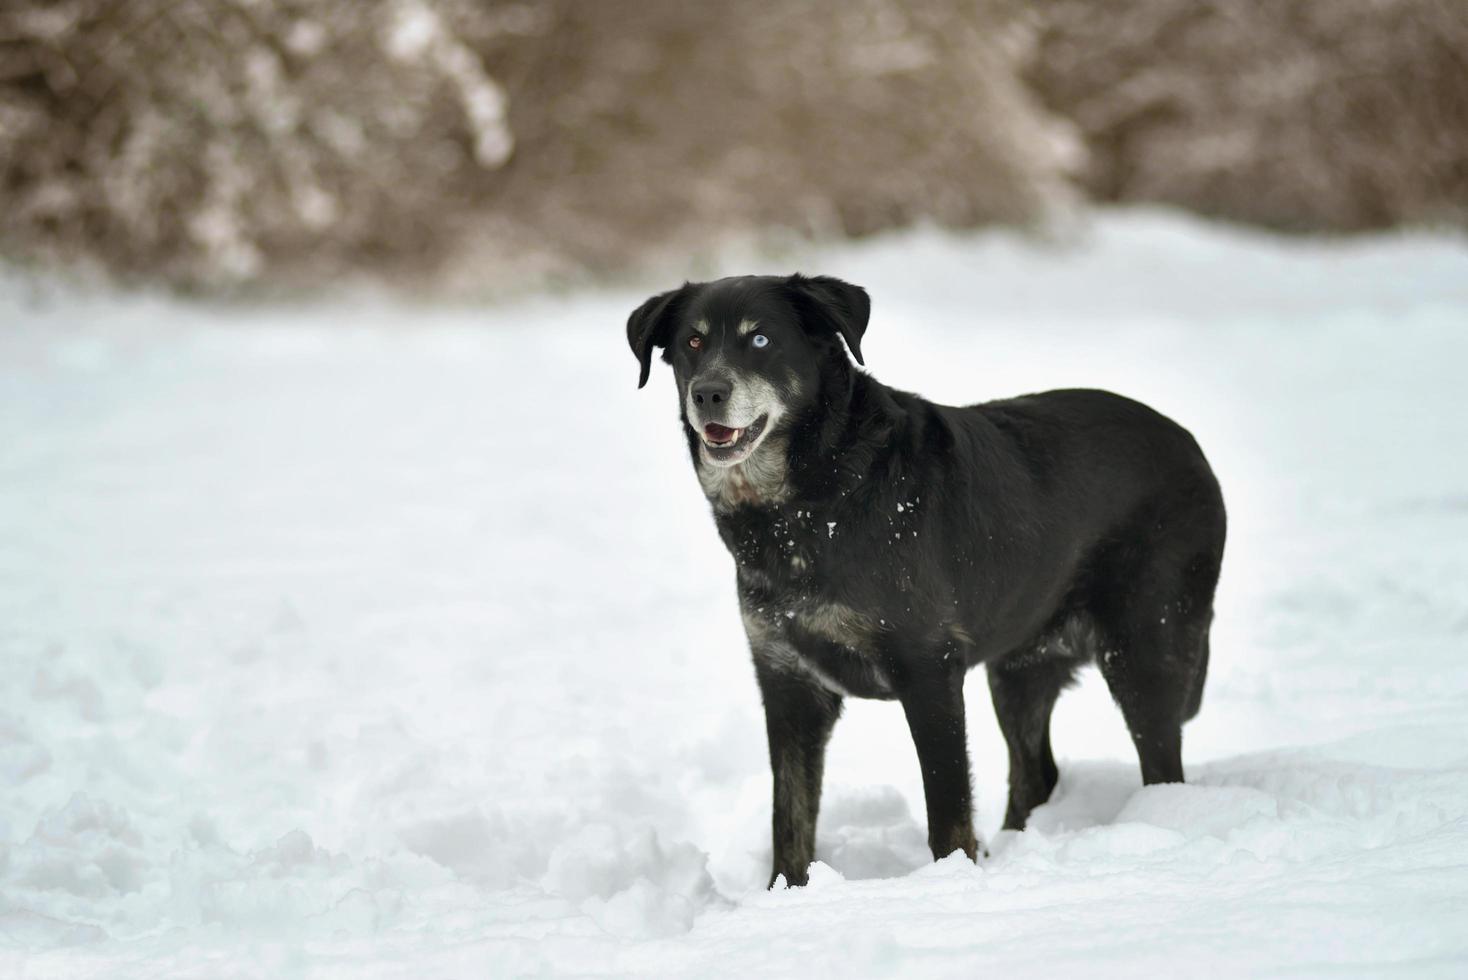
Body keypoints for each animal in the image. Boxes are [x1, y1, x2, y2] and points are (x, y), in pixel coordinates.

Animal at [631, 275, 1227, 886]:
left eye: (761, 340)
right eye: (693, 343)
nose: (707, 393)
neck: (813, 497)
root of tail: (1191, 447)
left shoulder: (928, 670)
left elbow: (947, 810)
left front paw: (952, 884)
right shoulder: (787, 680)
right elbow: (790, 821)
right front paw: (787, 895)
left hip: (1144, 652)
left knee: (1161, 767)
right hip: (1020, 667)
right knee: (1036, 774)